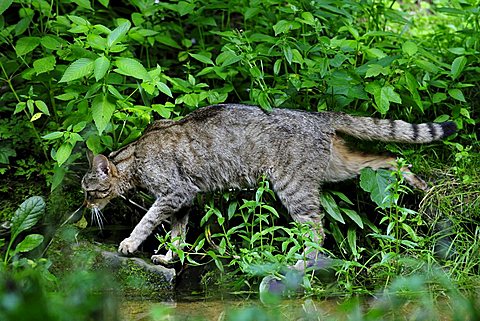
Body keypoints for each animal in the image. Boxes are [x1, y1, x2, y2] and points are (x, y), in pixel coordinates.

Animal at [80, 104, 456, 266]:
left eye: (88, 192)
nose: (85, 208)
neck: (135, 157)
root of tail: (319, 116)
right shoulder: (185, 199)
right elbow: (178, 232)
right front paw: (170, 256)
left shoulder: (174, 193)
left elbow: (148, 221)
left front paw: (130, 243)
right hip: (340, 166)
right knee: (388, 158)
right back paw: (420, 185)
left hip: (294, 187)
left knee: (317, 232)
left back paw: (301, 264)